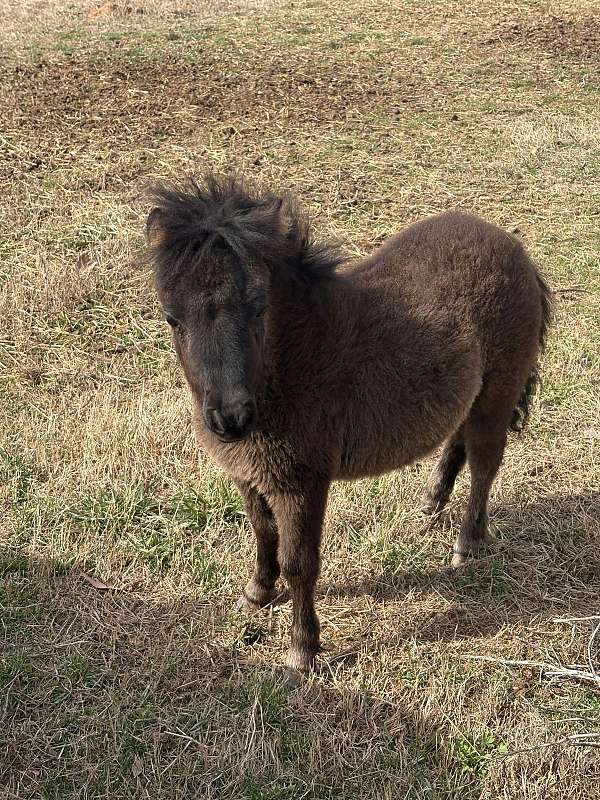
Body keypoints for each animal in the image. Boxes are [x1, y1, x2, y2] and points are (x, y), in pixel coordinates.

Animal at [145, 173, 552, 677]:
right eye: (172, 317)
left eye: (259, 306)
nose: (230, 418)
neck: (292, 365)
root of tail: (516, 249)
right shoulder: (248, 474)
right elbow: (262, 533)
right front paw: (256, 594)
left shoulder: (302, 484)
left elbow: (300, 563)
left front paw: (302, 651)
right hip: (470, 396)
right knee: (457, 442)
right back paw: (431, 505)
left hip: (497, 397)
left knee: (485, 464)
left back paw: (467, 544)